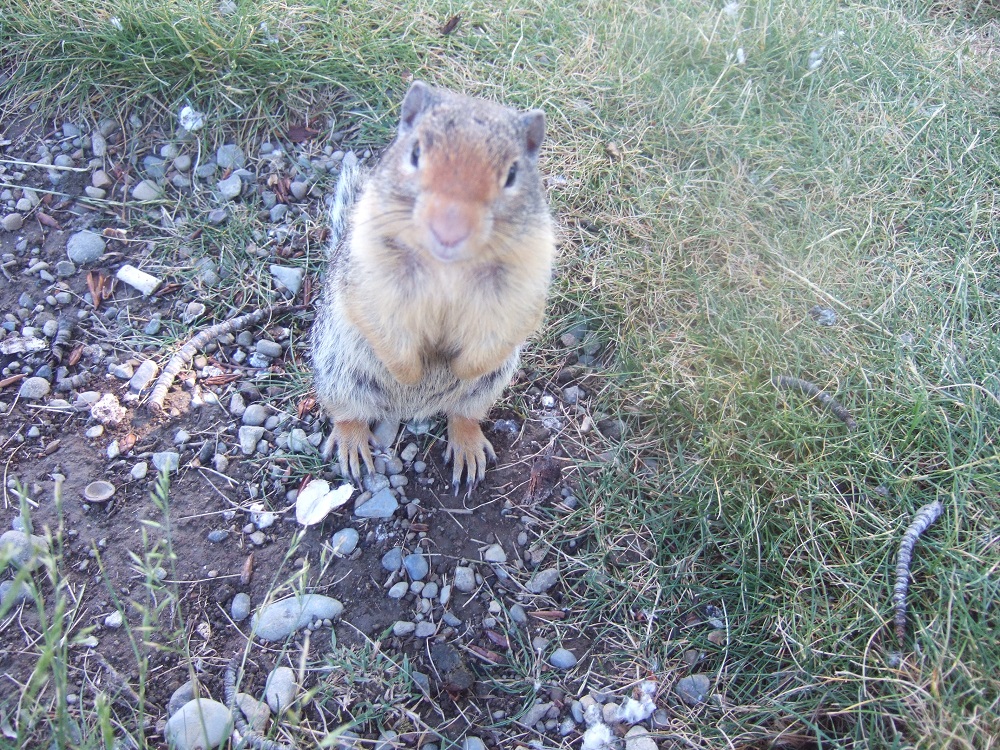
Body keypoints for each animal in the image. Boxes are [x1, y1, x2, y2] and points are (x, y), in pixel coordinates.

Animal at [310, 83, 556, 494]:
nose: (449, 230)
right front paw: (411, 373)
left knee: (464, 413)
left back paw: (466, 445)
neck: (448, 266)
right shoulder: (371, 273)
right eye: (414, 153)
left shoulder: (524, 283)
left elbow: (503, 329)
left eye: (512, 174)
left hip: (488, 387)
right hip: (339, 372)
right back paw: (353, 442)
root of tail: (409, 412)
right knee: (346, 412)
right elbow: (381, 322)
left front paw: (458, 366)